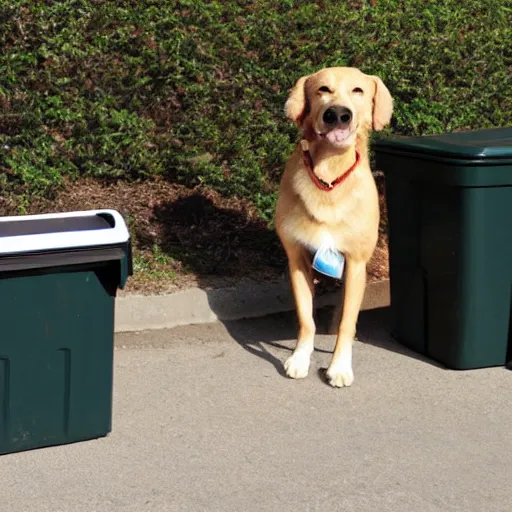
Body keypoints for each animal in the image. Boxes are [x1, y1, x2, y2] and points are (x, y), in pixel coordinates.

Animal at [276, 68, 392, 388]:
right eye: (322, 89)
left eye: (358, 91)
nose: (337, 114)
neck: (329, 174)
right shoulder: (297, 258)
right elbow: (306, 319)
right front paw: (300, 358)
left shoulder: (356, 263)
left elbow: (346, 323)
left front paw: (339, 366)